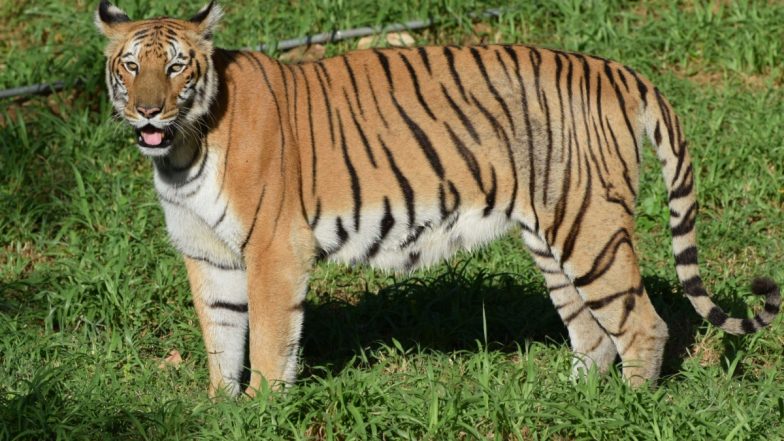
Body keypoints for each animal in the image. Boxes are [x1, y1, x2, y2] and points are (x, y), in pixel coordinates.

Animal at [95, 0, 780, 397]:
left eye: (177, 66)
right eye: (130, 65)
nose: (148, 110)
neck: (183, 153)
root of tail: (617, 70)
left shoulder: (273, 249)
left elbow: (266, 342)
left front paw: (264, 411)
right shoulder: (207, 254)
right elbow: (221, 339)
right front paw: (224, 411)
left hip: (590, 229)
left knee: (641, 324)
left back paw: (628, 412)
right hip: (553, 235)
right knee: (591, 331)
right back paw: (574, 402)